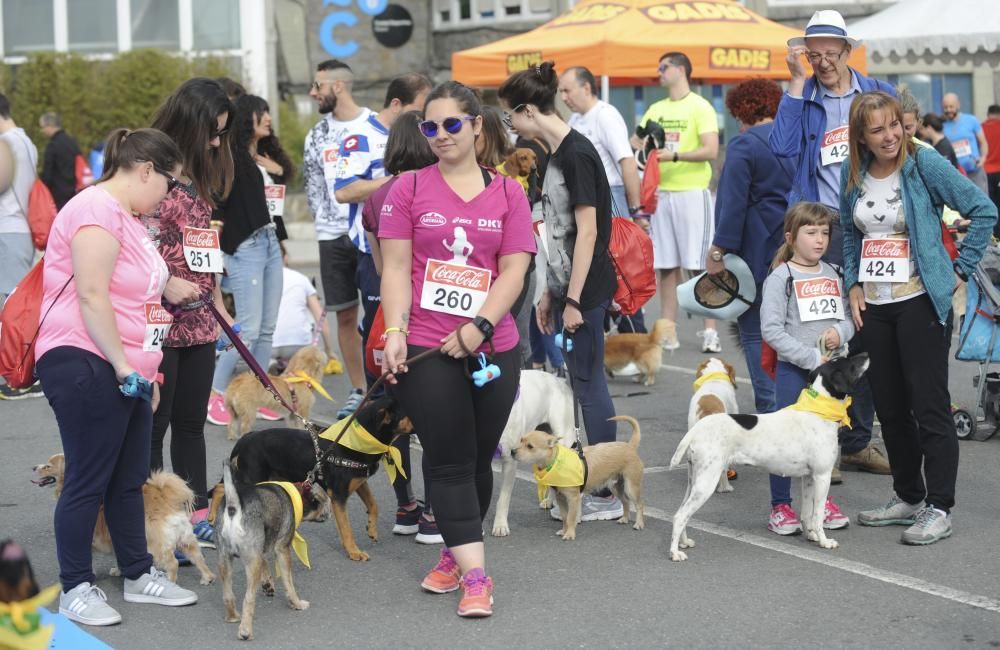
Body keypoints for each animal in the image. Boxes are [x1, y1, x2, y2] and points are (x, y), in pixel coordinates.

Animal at [32, 450, 215, 584]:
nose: (33, 467)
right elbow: (121, 557)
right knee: (198, 558)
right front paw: (120, 570)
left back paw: (170, 581)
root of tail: (164, 499)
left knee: (173, 563)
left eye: (48, 466)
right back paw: (207, 578)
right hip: (186, 541)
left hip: (156, 546)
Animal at [211, 392, 414, 560]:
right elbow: (346, 528)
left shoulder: (359, 482)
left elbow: (373, 505)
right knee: (223, 489)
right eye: (407, 414)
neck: (361, 440)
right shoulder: (338, 495)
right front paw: (354, 552)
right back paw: (213, 515)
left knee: (220, 487)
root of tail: (247, 437)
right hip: (251, 476)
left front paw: (371, 529)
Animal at [512, 412, 644, 540]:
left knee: (639, 504)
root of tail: (630, 446)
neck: (556, 462)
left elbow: (570, 517)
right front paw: (564, 530)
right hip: (615, 487)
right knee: (626, 502)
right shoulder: (561, 498)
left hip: (631, 487)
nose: (512, 451)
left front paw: (570, 534)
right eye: (521, 440)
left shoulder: (573, 499)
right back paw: (625, 519)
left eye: (530, 446)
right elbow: (564, 517)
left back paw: (639, 524)